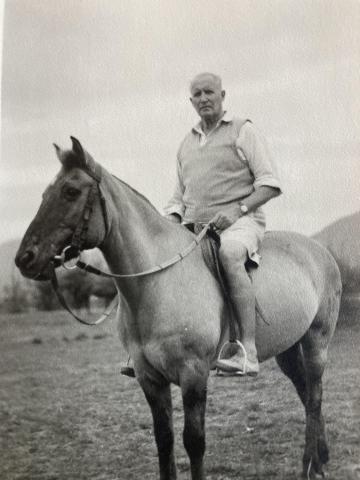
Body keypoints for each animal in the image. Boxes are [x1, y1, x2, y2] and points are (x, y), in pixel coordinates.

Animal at [16, 136, 344, 480]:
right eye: (45, 193)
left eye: (71, 192)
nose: (25, 258)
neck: (158, 283)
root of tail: (320, 250)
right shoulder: (150, 378)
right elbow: (164, 440)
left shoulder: (193, 373)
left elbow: (194, 441)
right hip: (288, 348)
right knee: (306, 394)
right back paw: (320, 457)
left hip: (316, 342)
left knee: (315, 395)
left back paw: (311, 466)